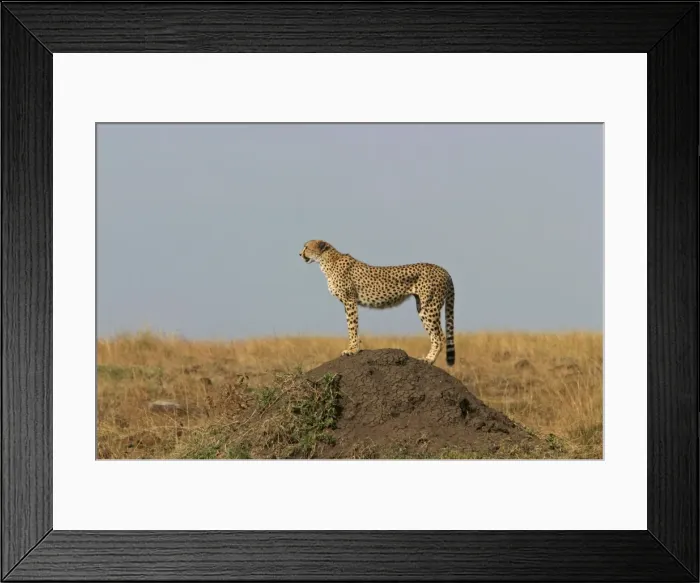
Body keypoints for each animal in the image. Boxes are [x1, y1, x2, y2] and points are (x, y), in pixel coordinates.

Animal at [299, 239, 455, 366]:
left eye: (306, 247)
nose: (299, 254)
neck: (327, 261)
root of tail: (443, 269)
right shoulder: (348, 302)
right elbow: (351, 326)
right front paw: (354, 348)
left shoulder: (350, 301)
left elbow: (352, 326)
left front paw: (352, 350)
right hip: (422, 307)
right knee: (435, 335)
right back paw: (429, 359)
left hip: (429, 306)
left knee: (440, 336)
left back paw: (429, 359)